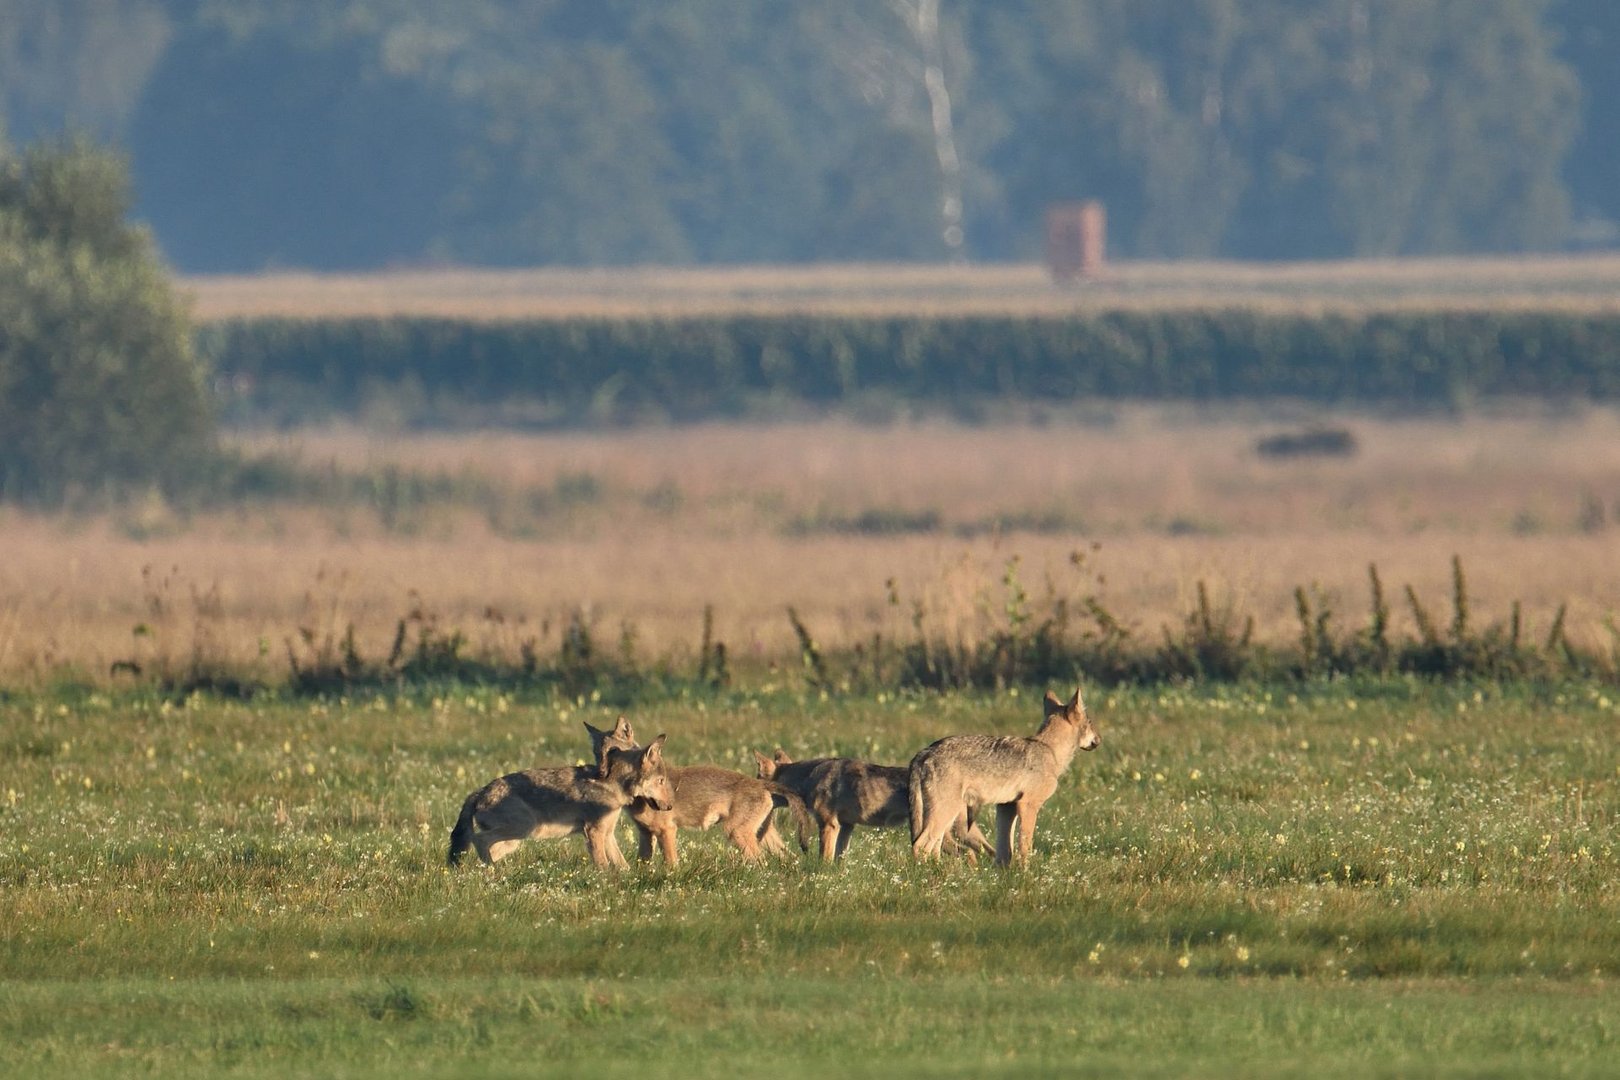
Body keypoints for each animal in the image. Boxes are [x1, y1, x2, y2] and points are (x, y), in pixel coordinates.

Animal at [447, 735, 673, 867]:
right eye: (661, 781)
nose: (670, 806)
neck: (612, 785)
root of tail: (479, 791)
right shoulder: (594, 832)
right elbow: (602, 865)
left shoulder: (607, 833)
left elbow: (622, 865)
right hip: (523, 829)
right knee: (479, 840)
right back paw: (494, 872)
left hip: (513, 841)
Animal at [751, 751, 991, 861]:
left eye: (757, 778)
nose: (749, 789)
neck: (808, 778)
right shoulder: (846, 827)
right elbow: (839, 858)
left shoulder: (829, 825)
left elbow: (824, 858)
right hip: (958, 834)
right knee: (982, 851)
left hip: (941, 836)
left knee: (968, 854)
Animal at [913, 689, 1101, 867]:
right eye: (1090, 723)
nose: (1099, 740)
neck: (1050, 750)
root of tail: (924, 753)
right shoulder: (1028, 805)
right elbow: (1025, 846)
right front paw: (1025, 873)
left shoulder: (1006, 807)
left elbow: (1005, 851)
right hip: (946, 814)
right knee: (919, 845)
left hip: (946, 820)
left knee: (935, 847)